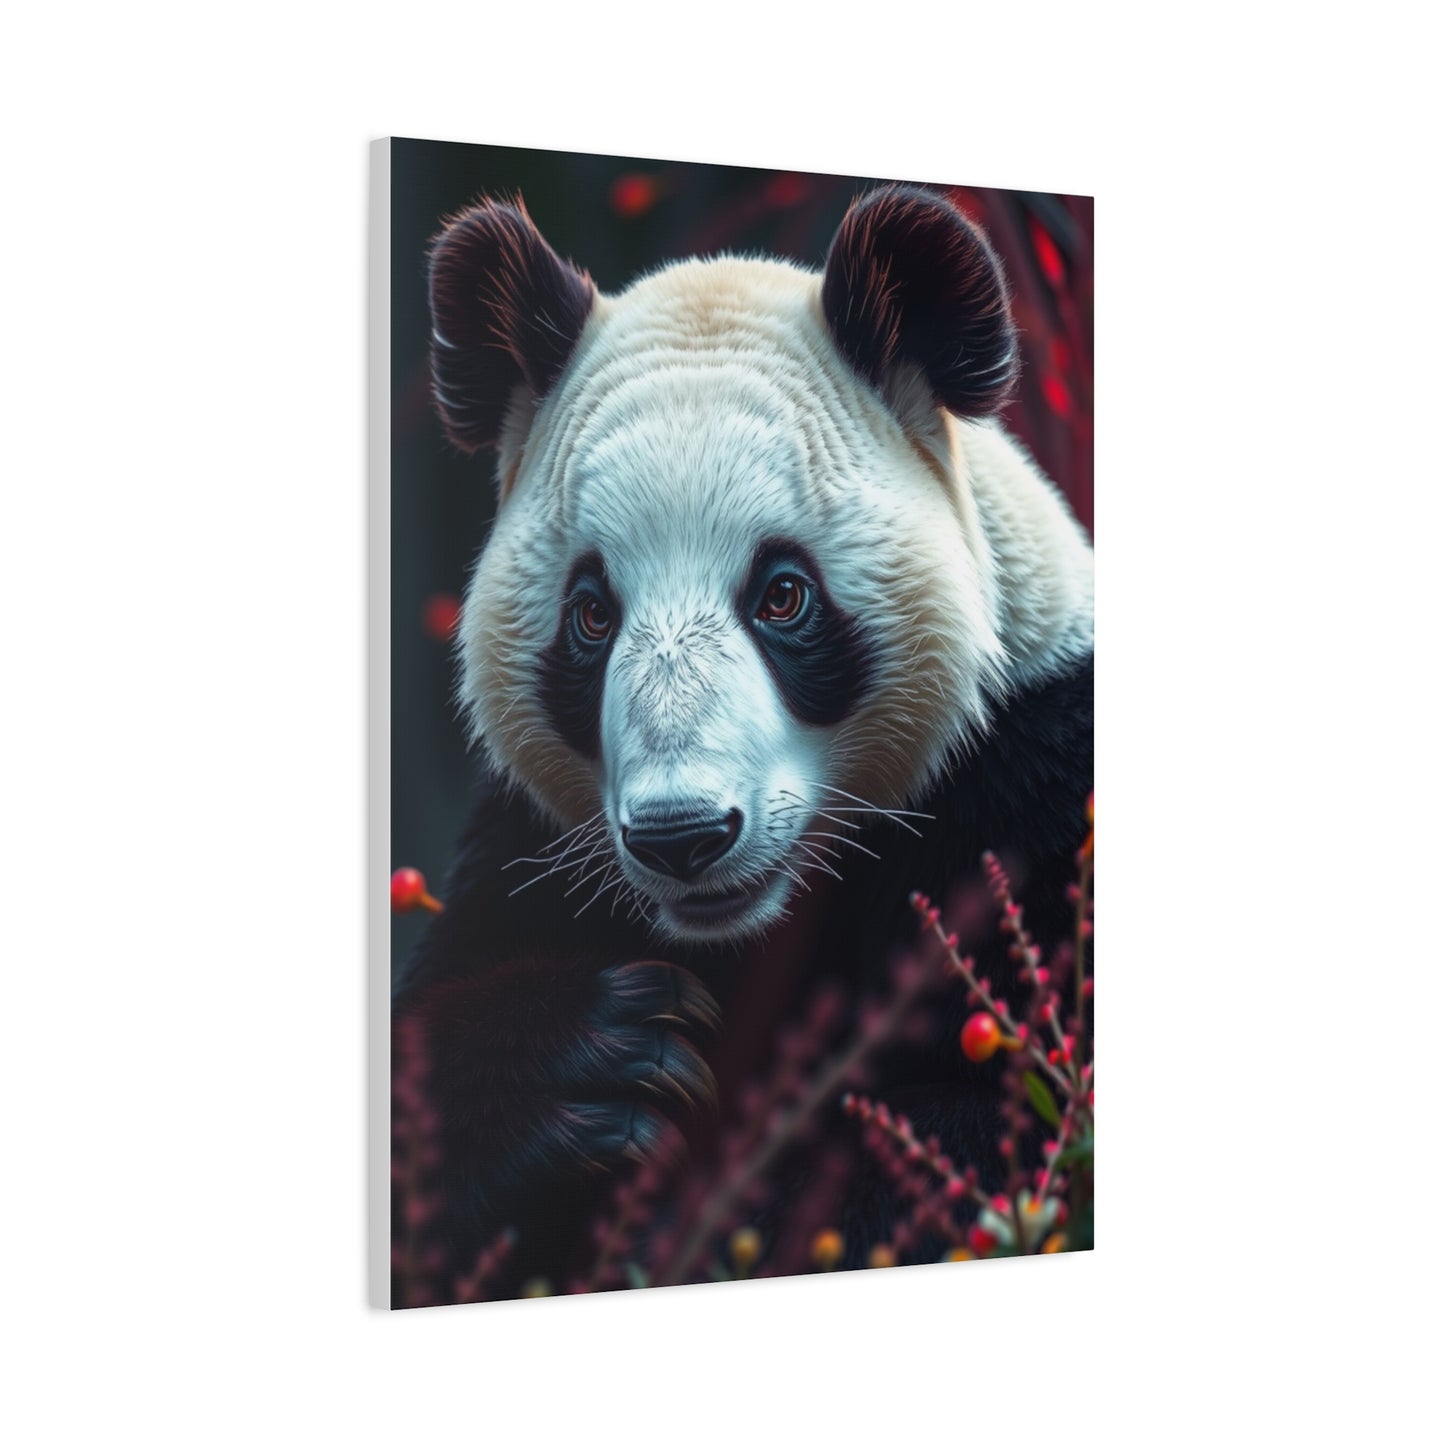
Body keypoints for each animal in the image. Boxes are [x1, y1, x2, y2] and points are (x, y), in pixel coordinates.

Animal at [394, 184, 1094, 1294]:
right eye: (591, 613)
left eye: (781, 594)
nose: (682, 833)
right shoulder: (527, 851)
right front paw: (613, 1058)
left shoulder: (1037, 775)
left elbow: (981, 1128)